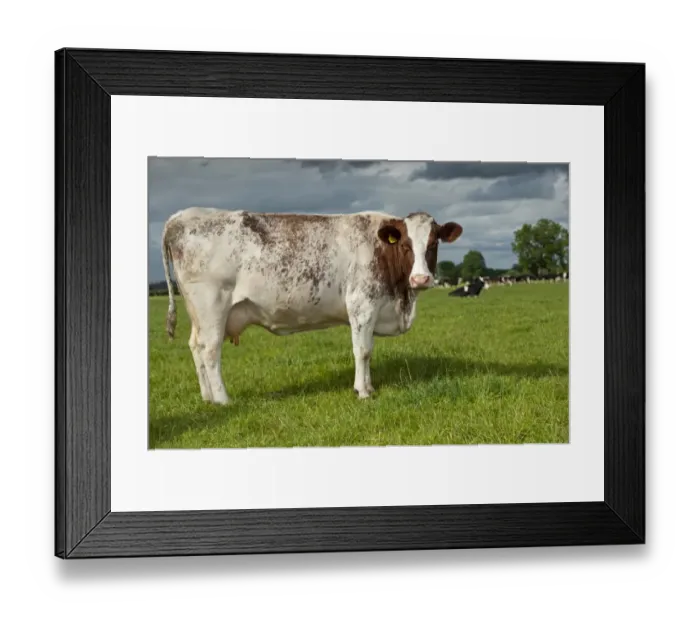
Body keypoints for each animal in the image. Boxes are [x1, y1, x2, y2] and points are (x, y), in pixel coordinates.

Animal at [161, 208, 463, 405]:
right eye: (405, 245)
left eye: (433, 243)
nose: (421, 278)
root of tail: (181, 216)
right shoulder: (362, 305)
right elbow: (363, 351)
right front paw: (363, 391)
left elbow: (367, 351)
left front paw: (367, 386)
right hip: (212, 307)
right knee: (210, 351)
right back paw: (223, 400)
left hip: (198, 314)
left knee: (195, 347)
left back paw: (207, 398)